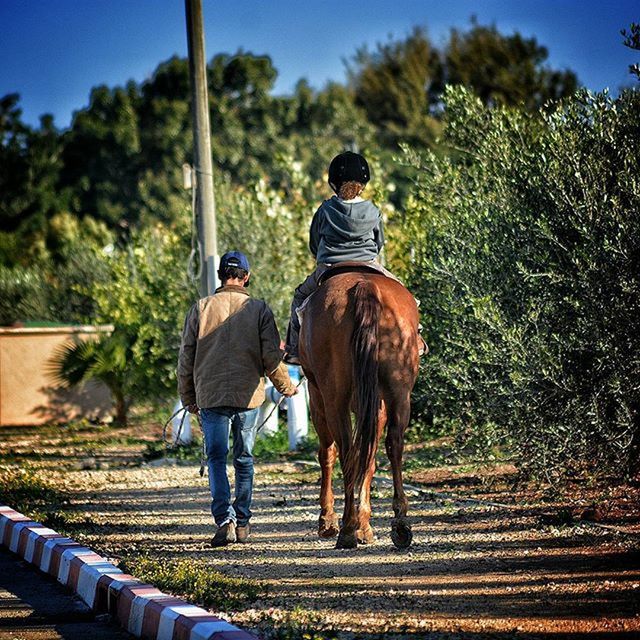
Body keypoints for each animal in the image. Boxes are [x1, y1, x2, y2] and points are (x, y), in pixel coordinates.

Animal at [298, 270, 420, 552]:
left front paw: (328, 521)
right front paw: (366, 526)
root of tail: (364, 285)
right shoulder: (378, 405)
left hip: (333, 397)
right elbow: (371, 459)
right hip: (398, 391)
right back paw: (400, 523)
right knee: (393, 444)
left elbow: (328, 454)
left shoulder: (316, 396)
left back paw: (346, 529)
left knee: (345, 451)